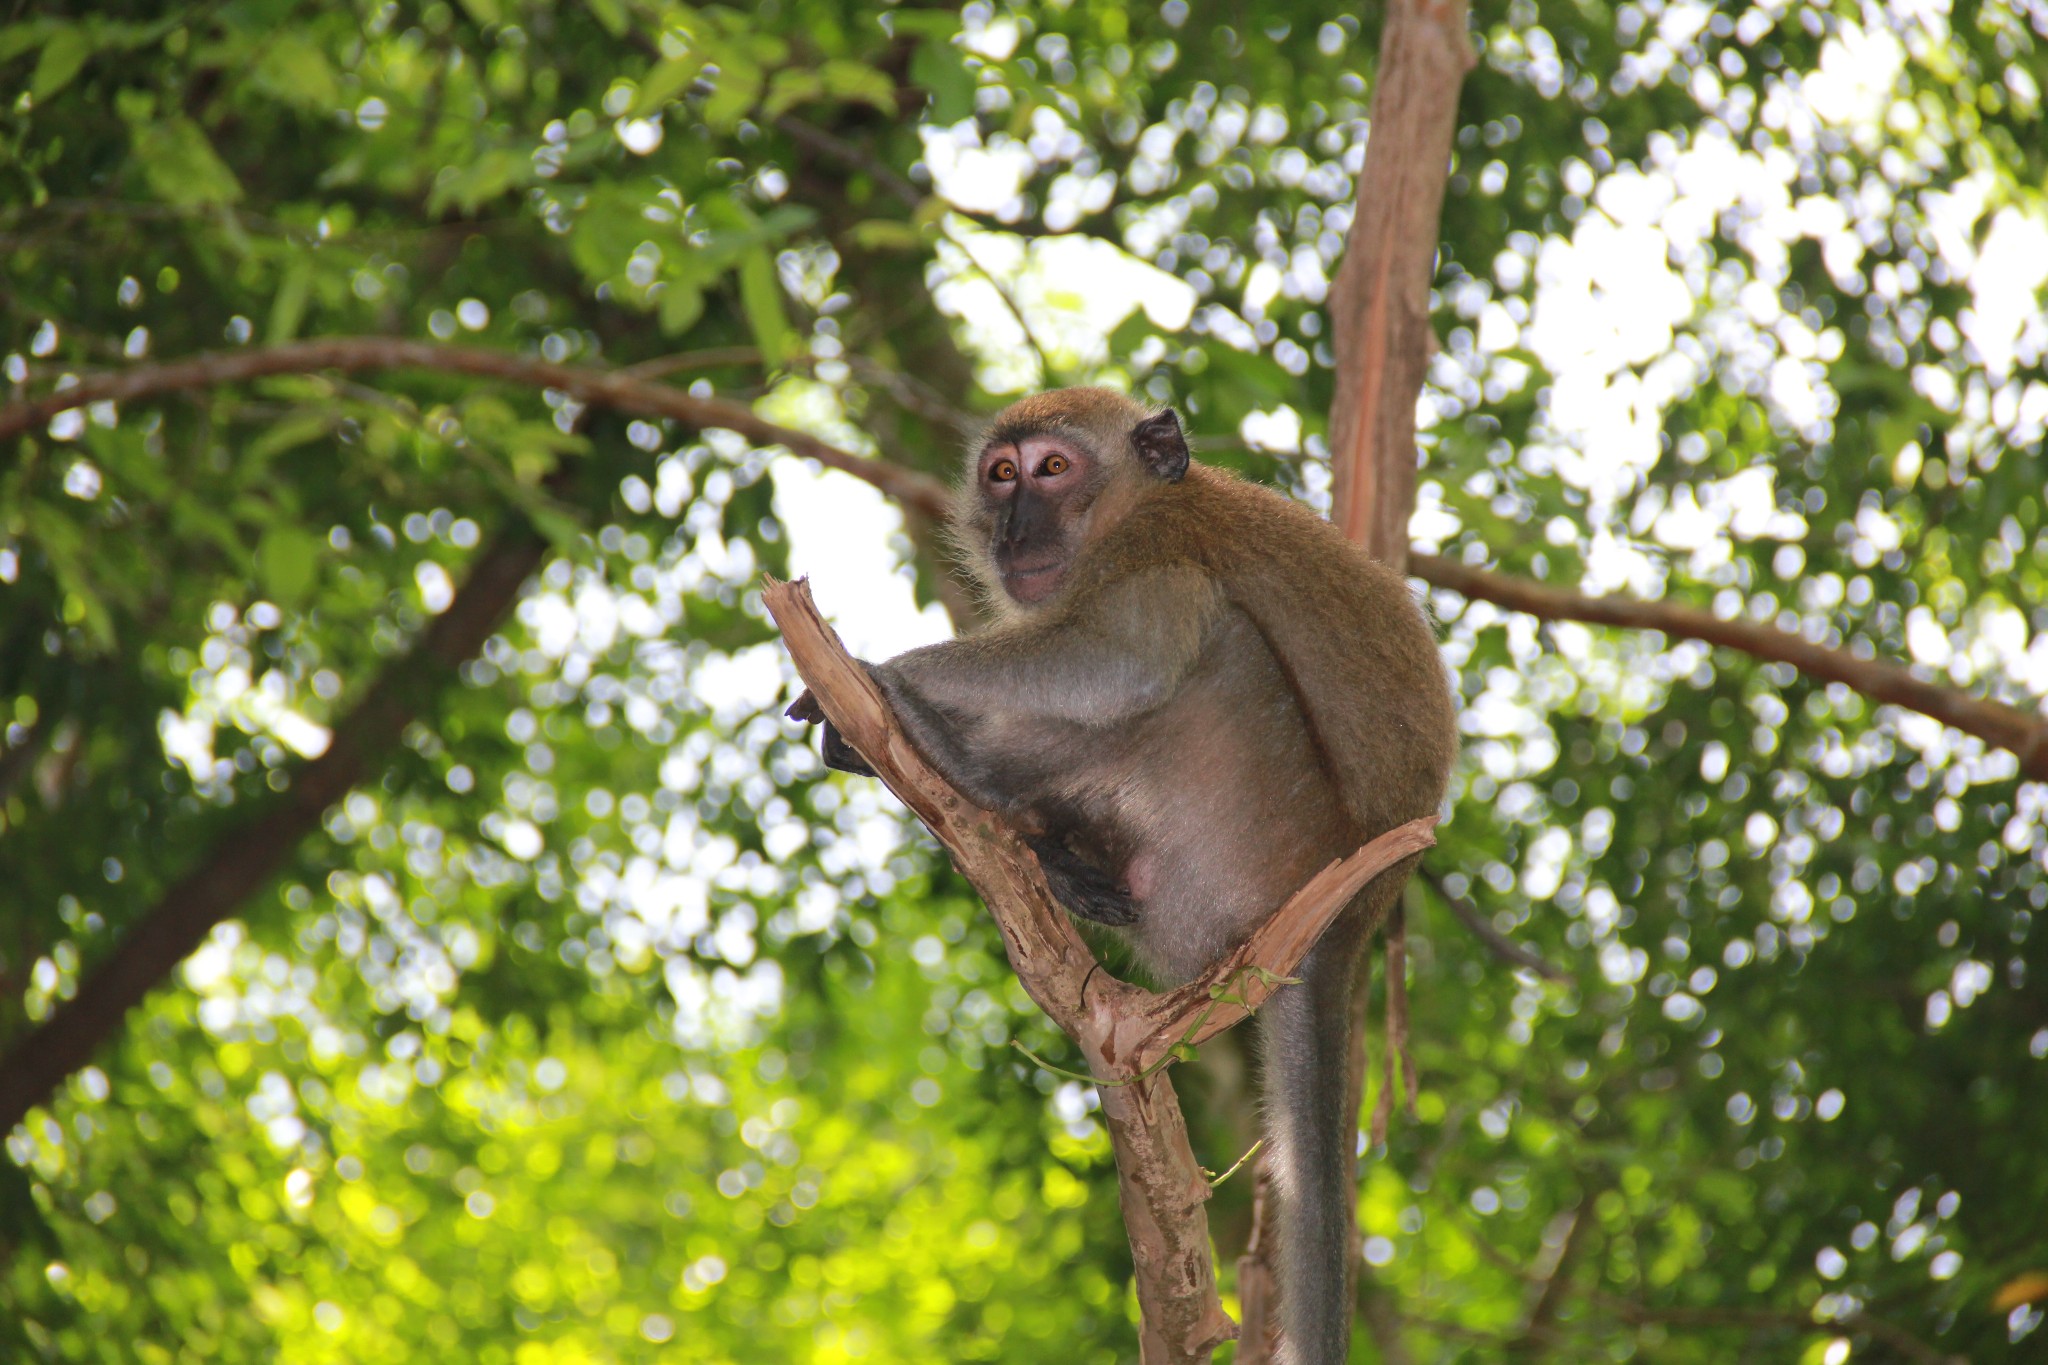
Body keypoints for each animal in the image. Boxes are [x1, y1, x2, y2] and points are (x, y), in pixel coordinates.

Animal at [782, 386, 1458, 1365]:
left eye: (1054, 468)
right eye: (1002, 473)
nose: (1016, 527)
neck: (1131, 507)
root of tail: (1349, 926)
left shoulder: (1146, 548)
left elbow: (1129, 656)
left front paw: (884, 673)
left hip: (1243, 835)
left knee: (1193, 623)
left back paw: (953, 756)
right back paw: (1049, 848)